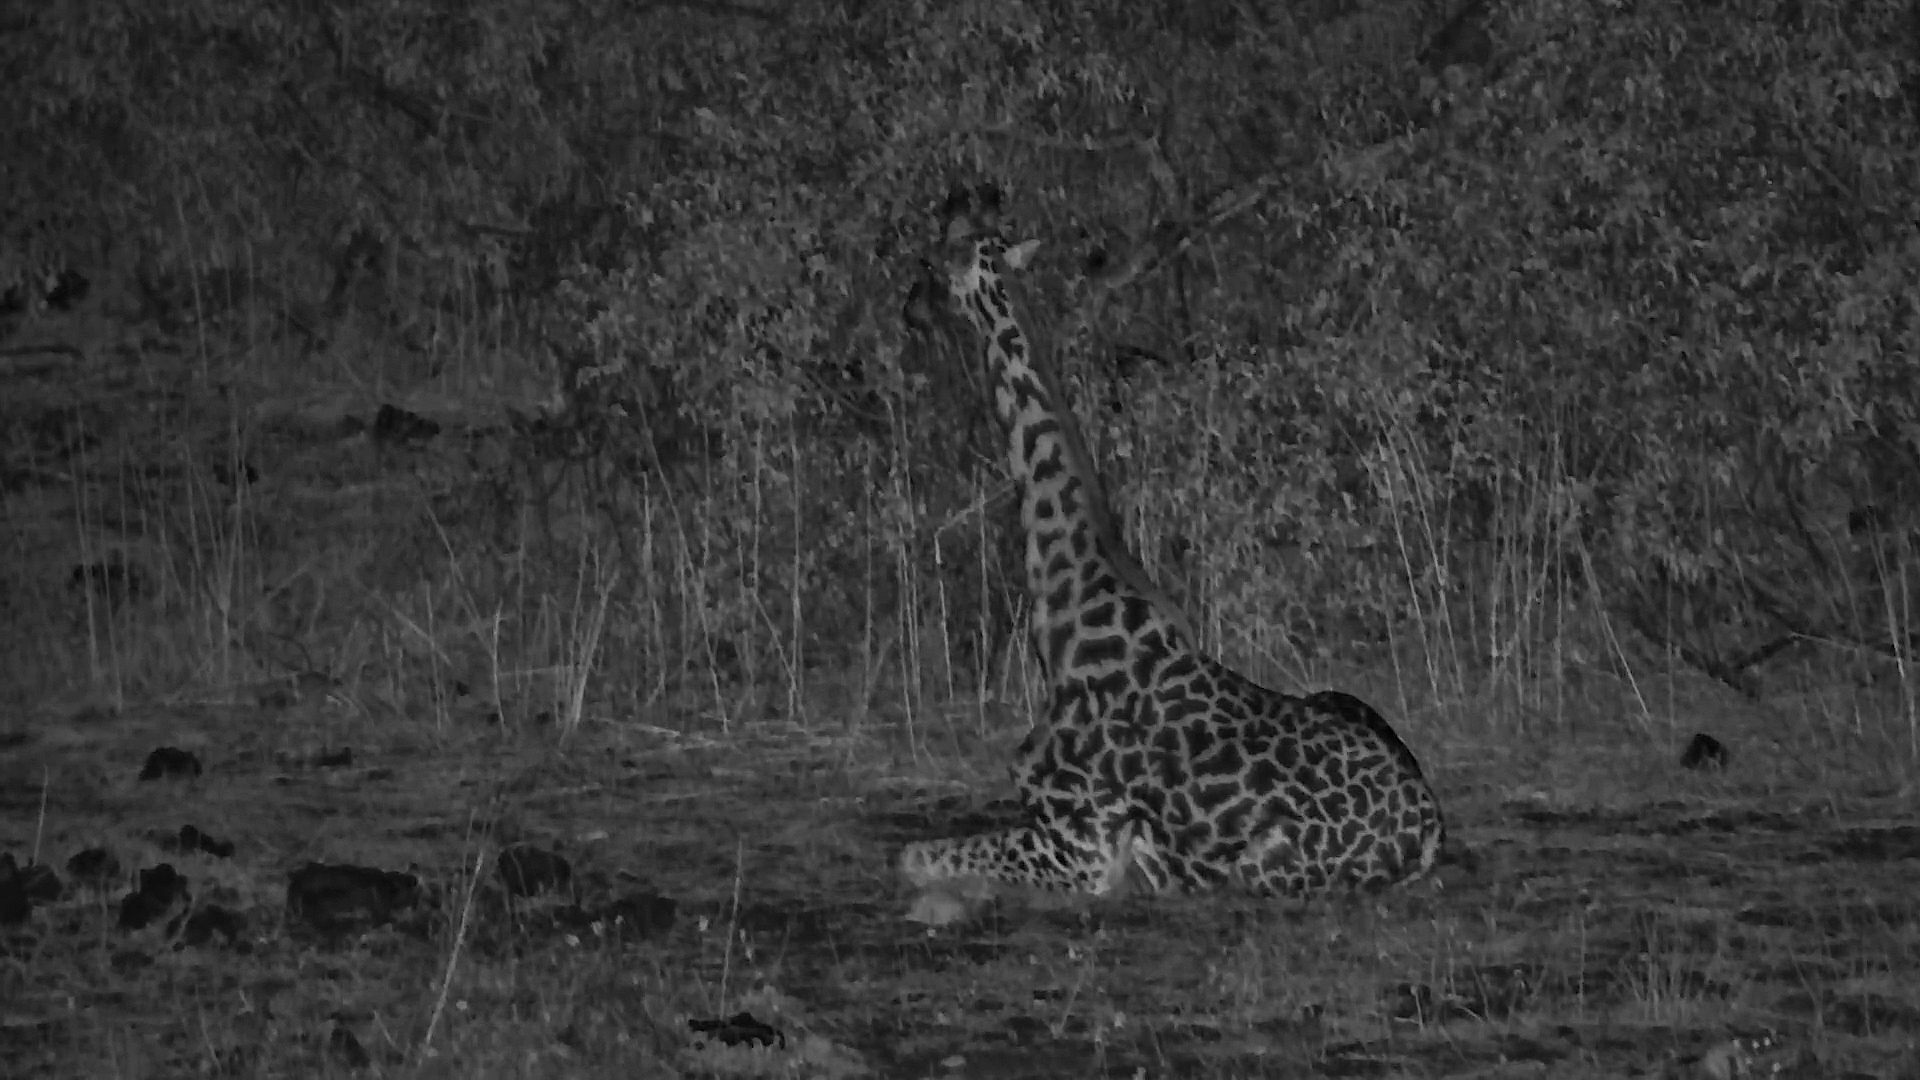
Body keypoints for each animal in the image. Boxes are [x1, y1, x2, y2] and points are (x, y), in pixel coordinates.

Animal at [898, 188, 1445, 914]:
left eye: (932, 264)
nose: (908, 307)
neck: (1065, 603)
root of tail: (1430, 831)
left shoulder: (1079, 848)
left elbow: (915, 857)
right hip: (1343, 697)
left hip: (1260, 865)